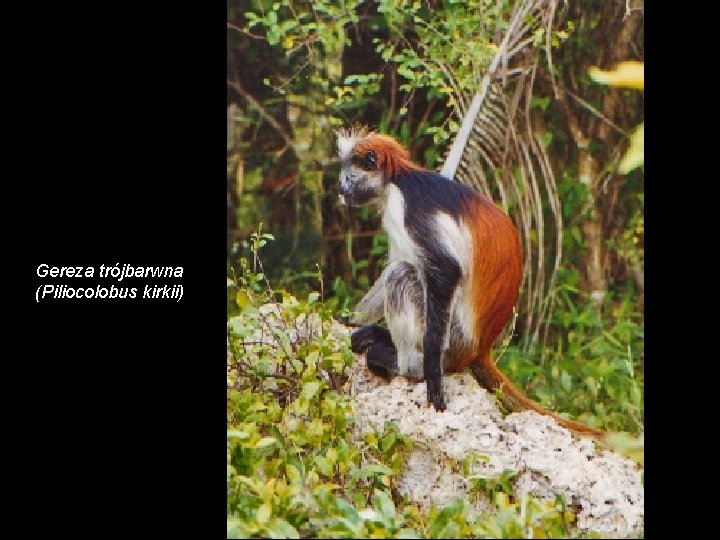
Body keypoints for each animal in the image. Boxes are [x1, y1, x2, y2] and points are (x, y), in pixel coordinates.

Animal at [336, 129, 600, 440]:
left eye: (348, 176)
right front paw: (348, 320)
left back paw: (407, 365)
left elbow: (445, 270)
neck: (397, 179)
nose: (341, 190)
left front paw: (432, 373)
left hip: (455, 337)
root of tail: (480, 347)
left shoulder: (407, 206)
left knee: (402, 275)